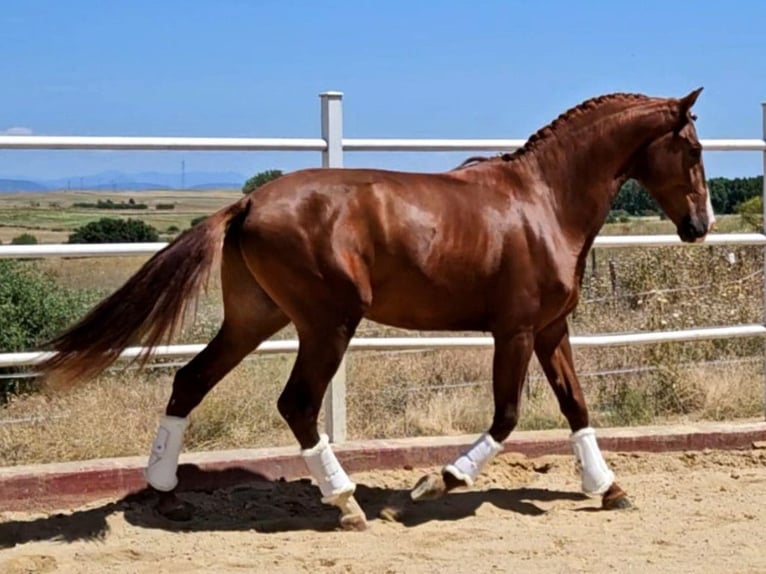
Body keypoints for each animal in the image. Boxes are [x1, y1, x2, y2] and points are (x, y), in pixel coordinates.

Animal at [35, 87, 715, 531]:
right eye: (692, 148)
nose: (700, 226)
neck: (544, 203)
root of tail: (249, 203)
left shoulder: (551, 328)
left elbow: (576, 405)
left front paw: (609, 488)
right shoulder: (516, 331)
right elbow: (507, 416)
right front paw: (434, 482)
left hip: (257, 318)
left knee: (190, 380)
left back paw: (166, 493)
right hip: (326, 323)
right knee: (296, 404)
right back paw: (346, 503)